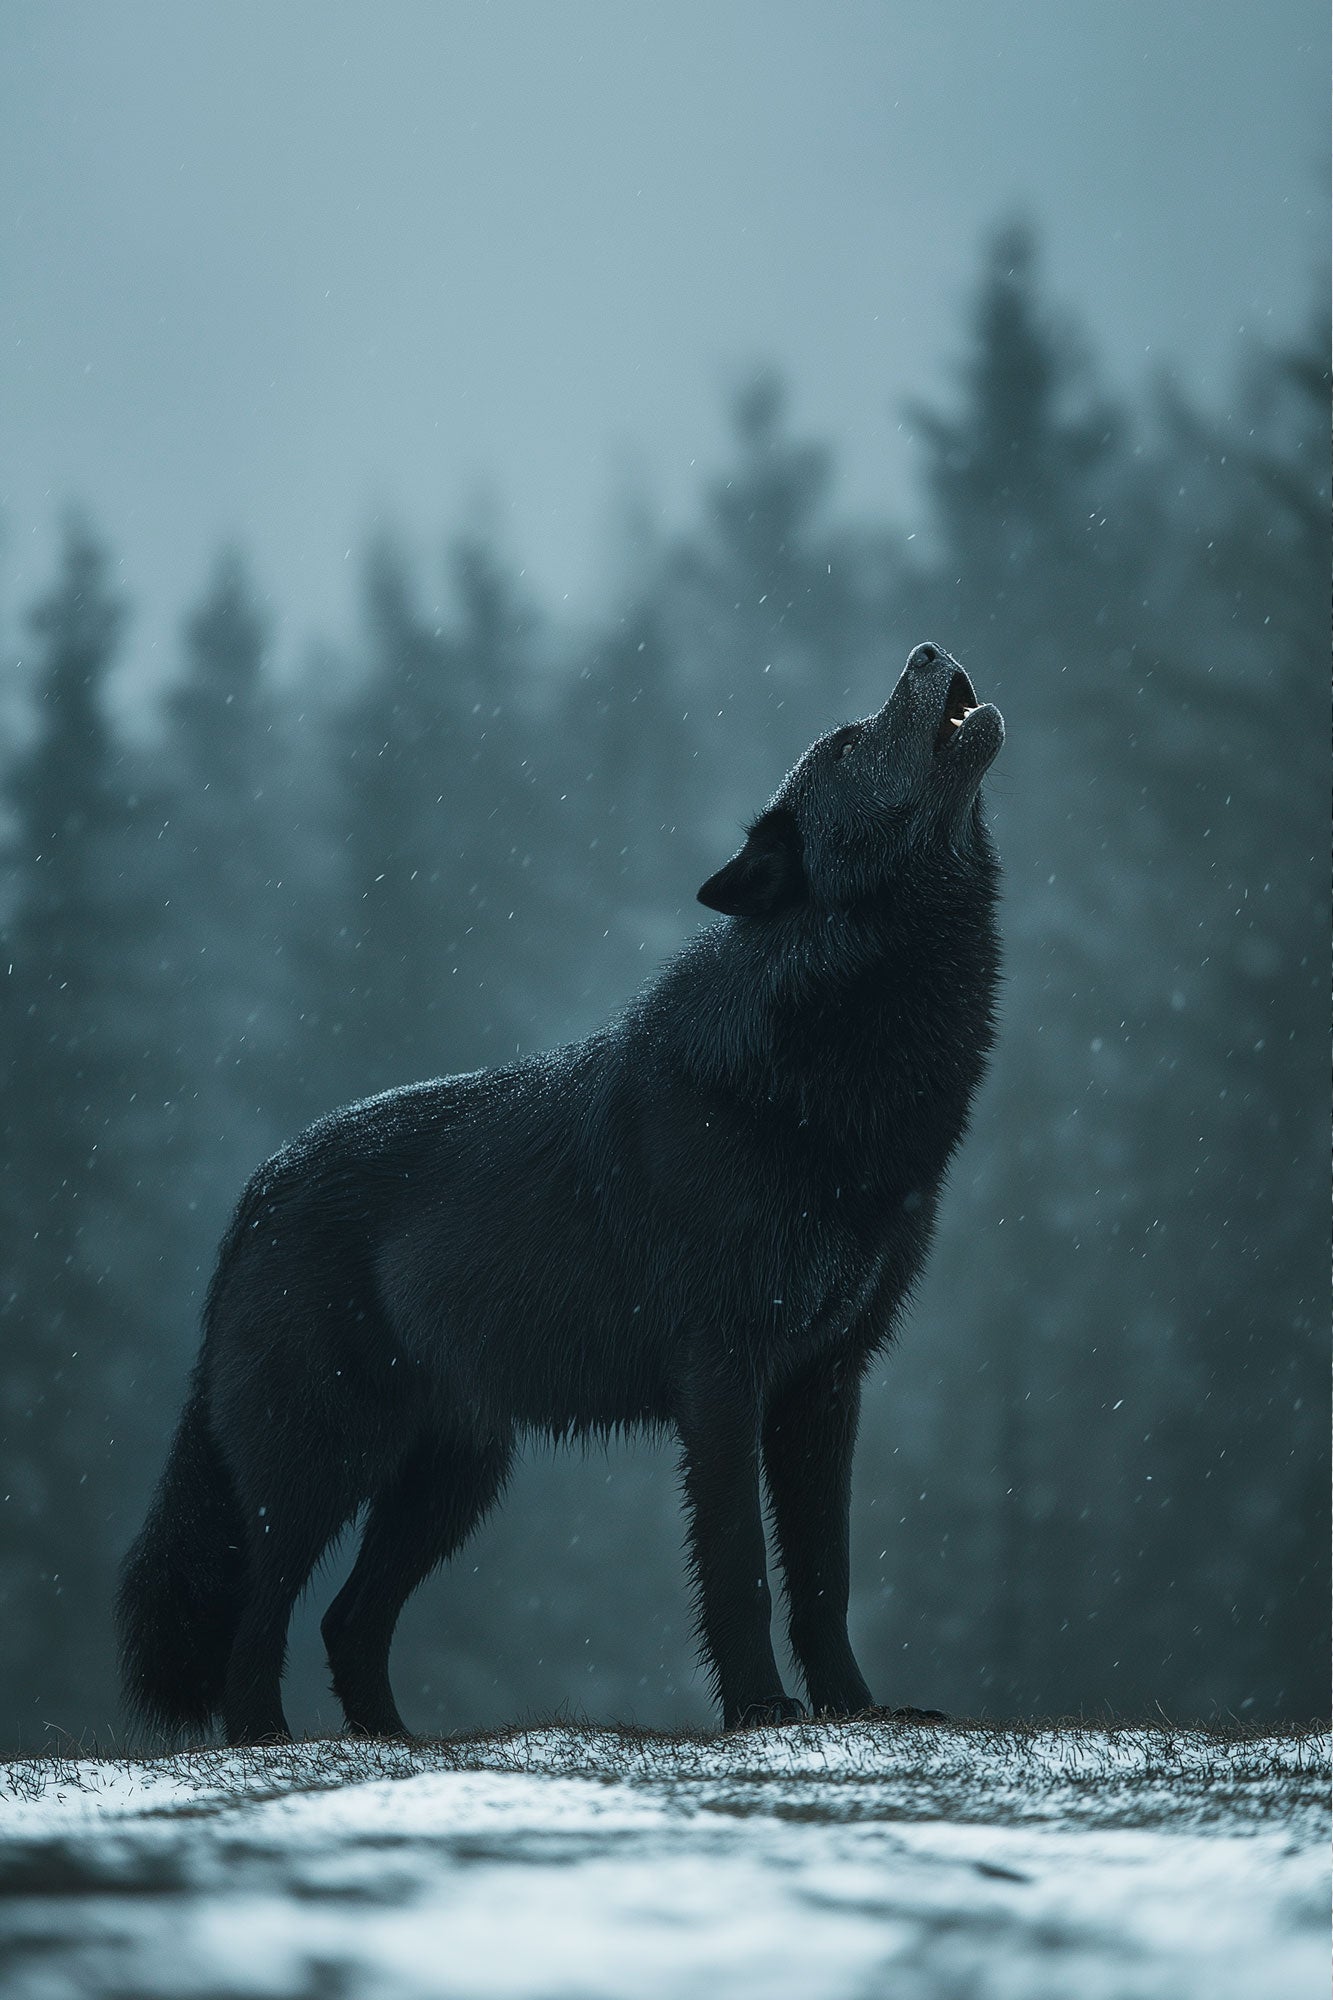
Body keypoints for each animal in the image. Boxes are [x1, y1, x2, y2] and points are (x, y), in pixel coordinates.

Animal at [117, 640, 1003, 1743]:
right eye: (848, 742)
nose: (925, 651)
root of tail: (257, 1187)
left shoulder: (825, 1381)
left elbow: (825, 1577)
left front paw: (855, 1707)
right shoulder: (719, 1374)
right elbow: (740, 1570)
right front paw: (760, 1708)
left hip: (455, 1478)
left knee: (345, 1618)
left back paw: (399, 1744)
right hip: (322, 1460)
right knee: (261, 1612)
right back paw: (269, 1740)